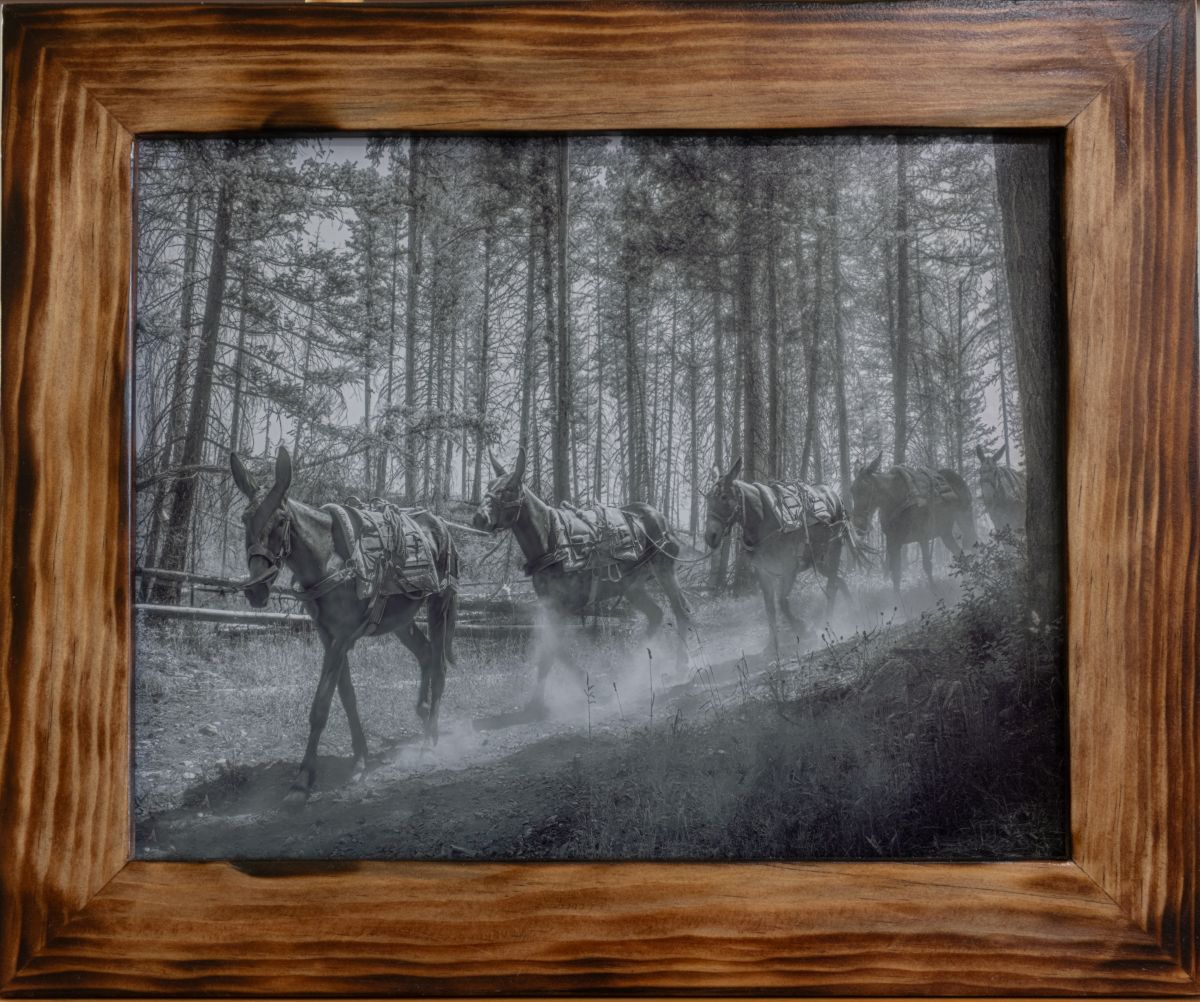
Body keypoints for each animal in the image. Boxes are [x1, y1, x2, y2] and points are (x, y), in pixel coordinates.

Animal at [230, 445, 458, 806]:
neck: (329, 562)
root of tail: (440, 526)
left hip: (440, 606)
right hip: (401, 620)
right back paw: (422, 714)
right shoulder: (330, 637)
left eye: (280, 520)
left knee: (438, 666)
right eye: (244, 519)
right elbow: (347, 696)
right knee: (424, 655)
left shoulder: (342, 639)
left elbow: (321, 705)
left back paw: (429, 740)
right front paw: (360, 758)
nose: (255, 589)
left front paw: (302, 780)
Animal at [471, 448, 693, 709]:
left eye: (508, 489)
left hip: (664, 569)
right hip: (632, 586)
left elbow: (553, 649)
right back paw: (628, 666)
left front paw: (573, 687)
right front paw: (541, 697)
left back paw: (682, 664)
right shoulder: (550, 605)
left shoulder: (567, 605)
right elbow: (551, 650)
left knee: (681, 610)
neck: (550, 541)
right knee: (656, 614)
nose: (479, 517)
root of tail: (660, 517)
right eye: (489, 484)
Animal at [703, 457, 852, 651]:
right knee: (839, 581)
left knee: (831, 586)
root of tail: (835, 496)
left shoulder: (789, 569)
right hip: (819, 561)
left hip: (833, 551)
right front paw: (772, 645)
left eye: (724, 496)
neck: (763, 522)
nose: (710, 536)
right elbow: (770, 608)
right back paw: (852, 608)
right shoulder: (763, 572)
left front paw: (803, 629)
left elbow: (782, 602)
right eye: (707, 497)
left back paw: (829, 623)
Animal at [848, 452, 977, 592]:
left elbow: (927, 566)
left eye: (867, 487)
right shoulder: (893, 541)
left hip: (965, 518)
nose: (859, 524)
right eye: (852, 490)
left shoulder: (923, 536)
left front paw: (935, 593)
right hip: (945, 531)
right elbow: (896, 574)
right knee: (960, 555)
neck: (895, 501)